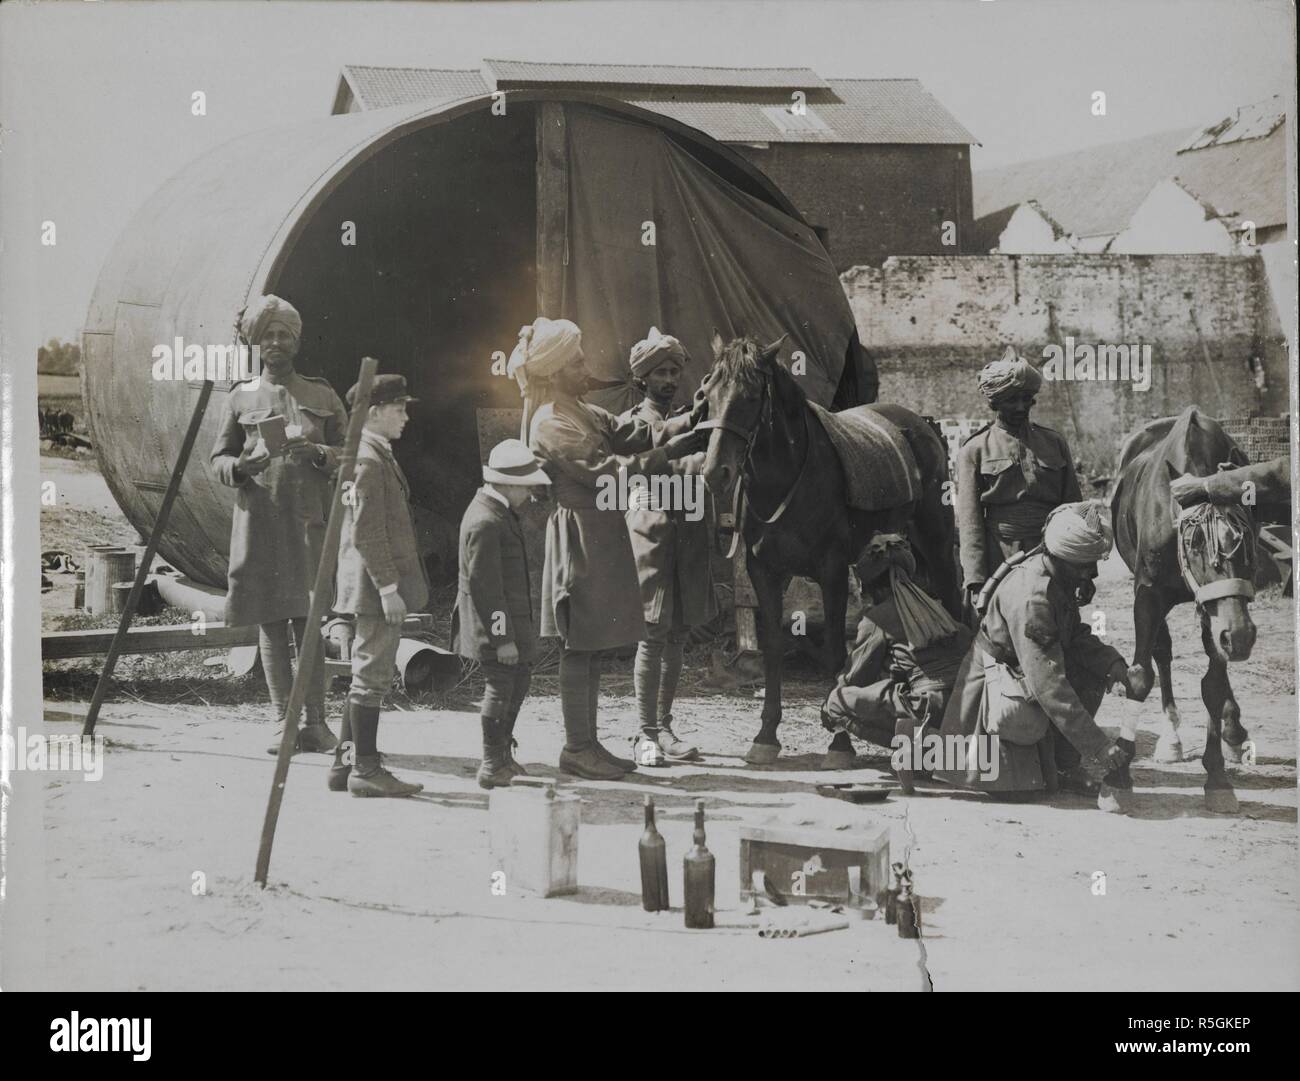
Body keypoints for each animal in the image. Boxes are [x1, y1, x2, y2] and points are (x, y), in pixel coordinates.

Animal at [696, 332, 961, 763]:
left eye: (751, 396)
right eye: (708, 393)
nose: (714, 472)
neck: (788, 480)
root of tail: (924, 425)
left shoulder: (832, 572)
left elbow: (837, 651)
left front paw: (840, 743)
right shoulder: (765, 573)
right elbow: (773, 649)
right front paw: (766, 735)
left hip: (936, 540)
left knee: (952, 599)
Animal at [1112, 410, 1253, 815]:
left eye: (1247, 537)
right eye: (1194, 541)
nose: (1242, 636)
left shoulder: (1218, 608)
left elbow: (1214, 684)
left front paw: (1217, 777)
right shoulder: (1147, 594)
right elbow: (1141, 675)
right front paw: (1118, 776)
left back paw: (1233, 731)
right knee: (1163, 651)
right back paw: (1171, 736)